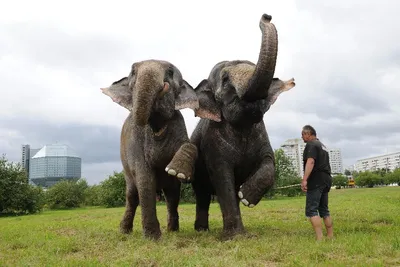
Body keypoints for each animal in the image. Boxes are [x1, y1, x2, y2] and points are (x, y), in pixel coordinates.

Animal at [100, 59, 200, 241]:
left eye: (170, 72)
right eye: (133, 71)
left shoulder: (177, 122)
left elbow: (189, 144)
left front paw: (178, 172)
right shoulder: (135, 142)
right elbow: (144, 178)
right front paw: (153, 237)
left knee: (172, 196)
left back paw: (172, 230)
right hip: (126, 172)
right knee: (132, 196)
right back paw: (124, 231)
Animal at [165, 13, 294, 238]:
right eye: (225, 80)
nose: (266, 16)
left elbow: (269, 163)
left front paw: (246, 198)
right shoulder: (213, 145)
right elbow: (222, 175)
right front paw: (234, 237)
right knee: (202, 193)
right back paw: (202, 230)